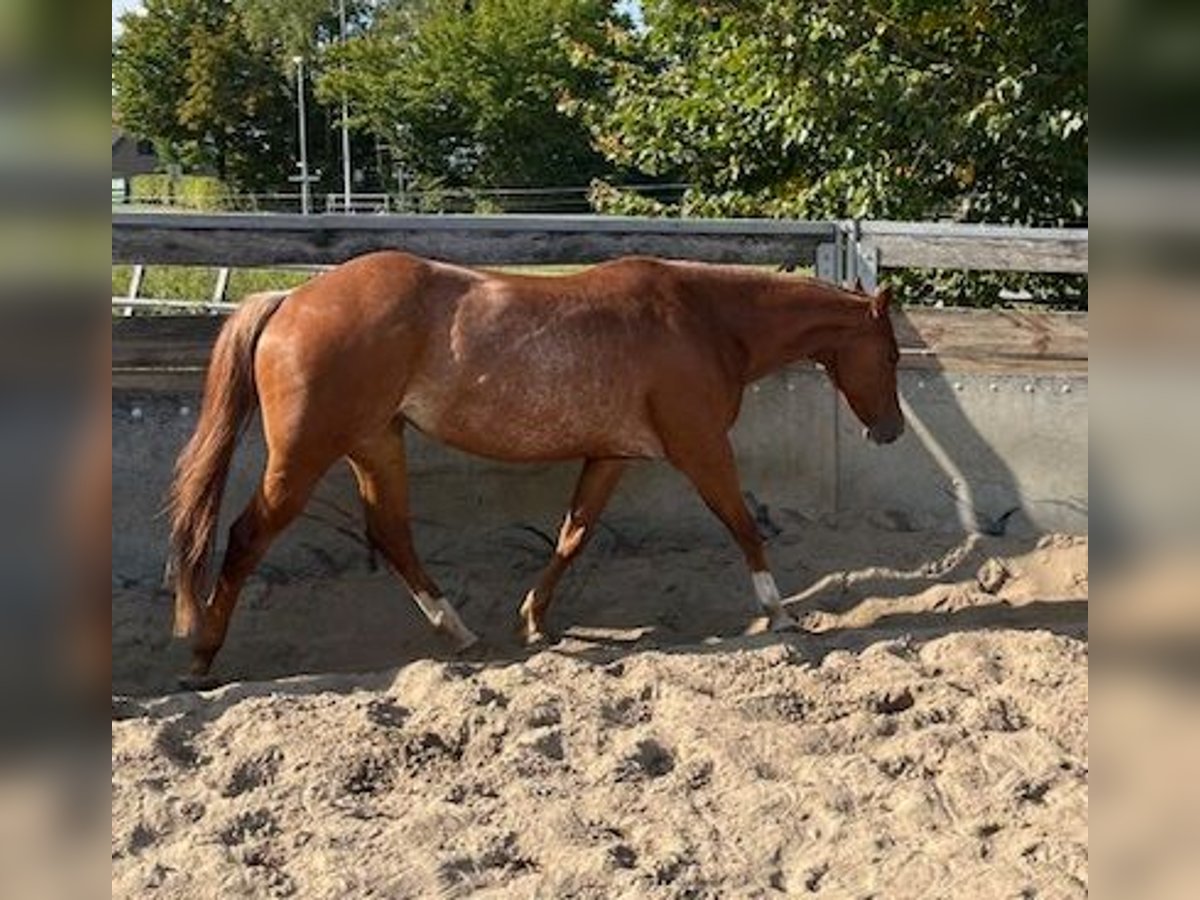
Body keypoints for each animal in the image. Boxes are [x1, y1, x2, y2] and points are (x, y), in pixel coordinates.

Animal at [166, 250, 902, 681]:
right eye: (892, 354)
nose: (891, 431)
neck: (704, 320)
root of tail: (288, 300)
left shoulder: (611, 455)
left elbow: (573, 536)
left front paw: (532, 621)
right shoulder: (699, 447)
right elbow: (743, 523)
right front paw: (780, 614)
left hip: (376, 442)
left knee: (392, 534)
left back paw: (462, 634)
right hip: (306, 455)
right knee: (247, 535)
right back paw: (202, 653)